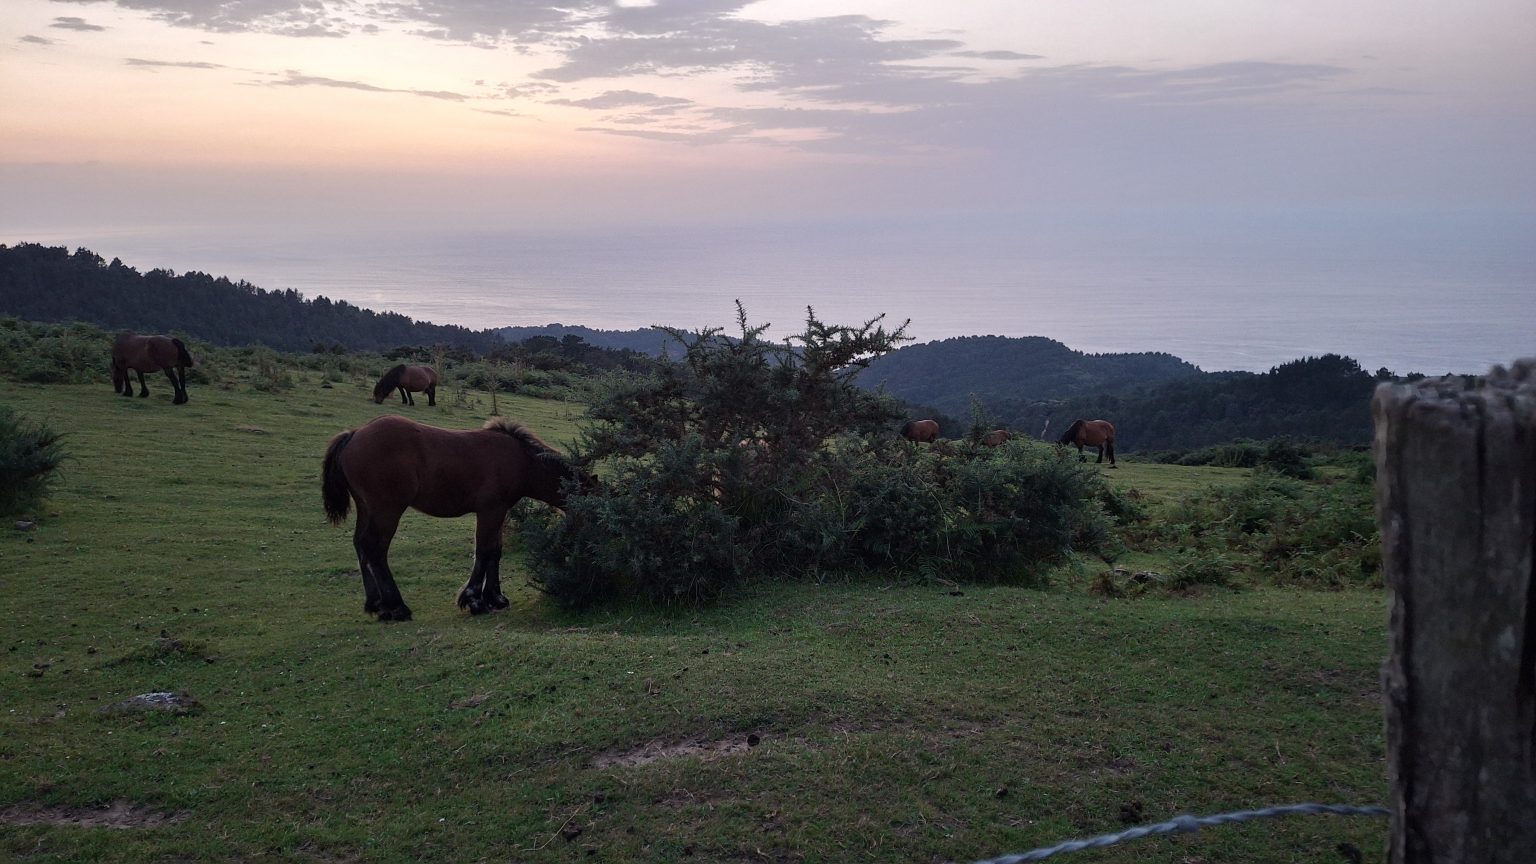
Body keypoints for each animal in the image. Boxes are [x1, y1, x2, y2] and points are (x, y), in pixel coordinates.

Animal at [322, 415, 584, 621]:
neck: (520, 460)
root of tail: (354, 434)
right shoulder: (490, 510)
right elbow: (484, 551)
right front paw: (475, 600)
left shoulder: (499, 512)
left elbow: (495, 552)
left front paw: (495, 597)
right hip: (387, 511)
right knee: (374, 550)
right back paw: (397, 607)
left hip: (367, 508)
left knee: (360, 545)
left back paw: (377, 605)